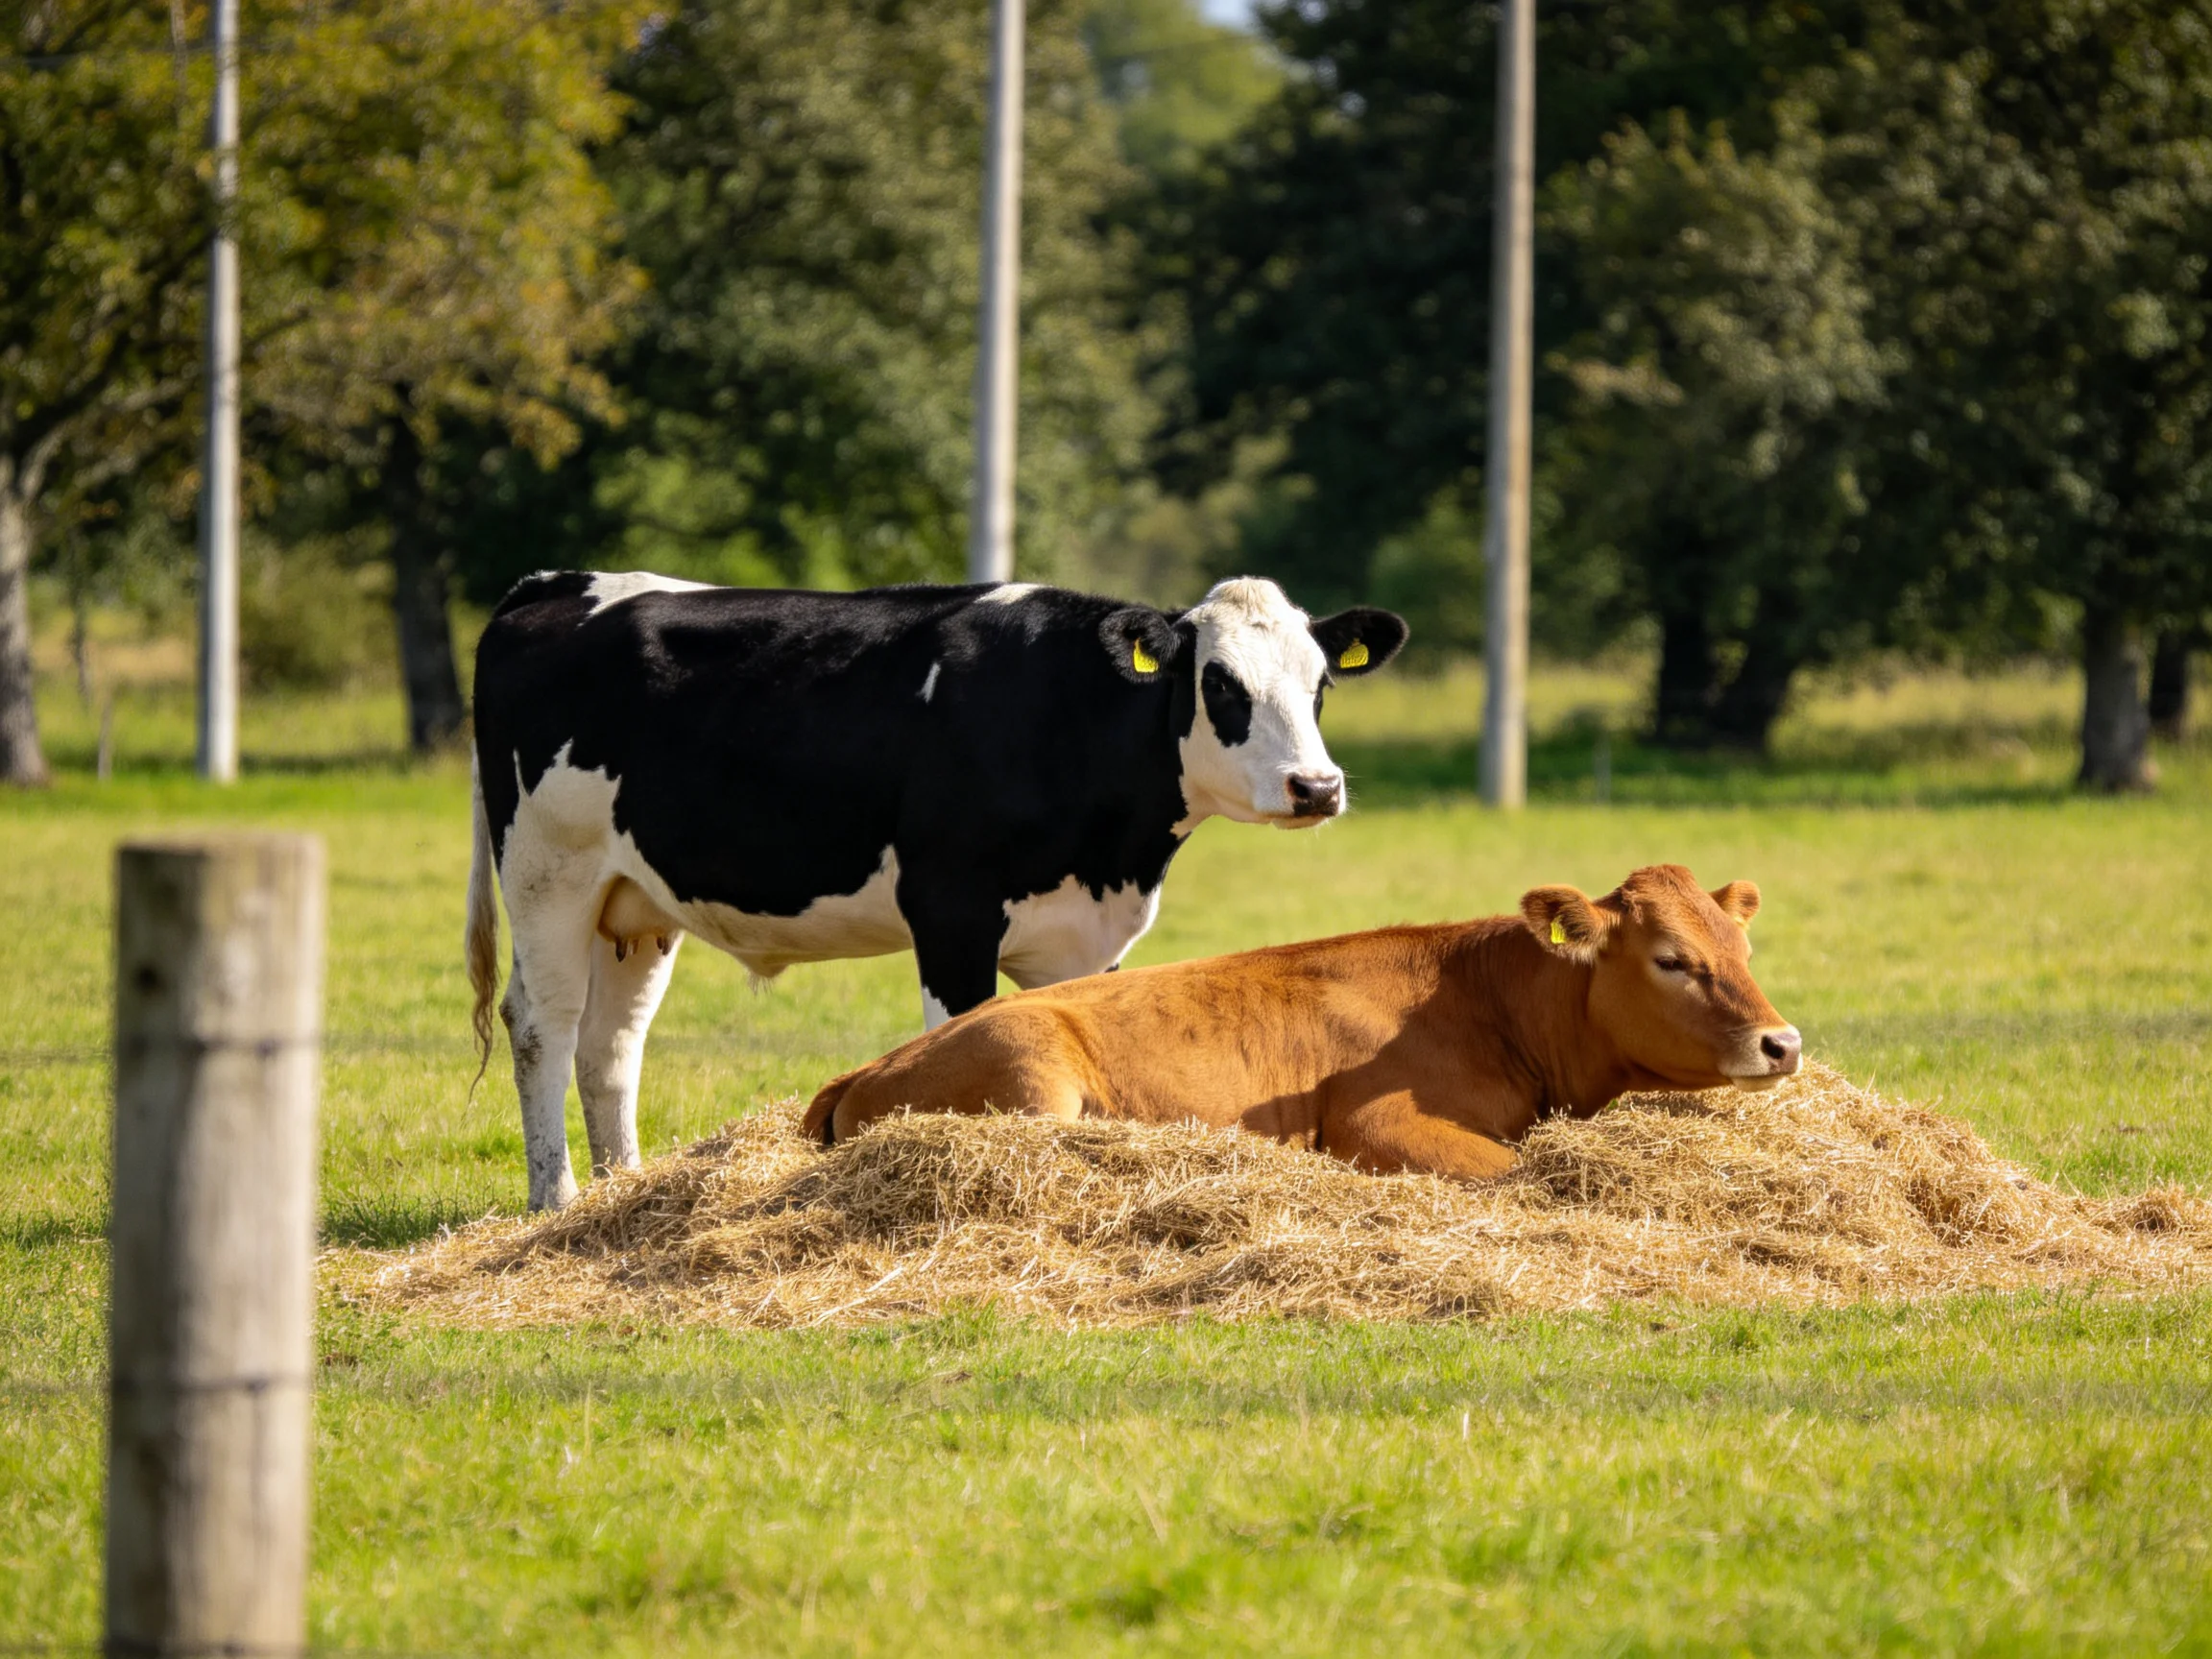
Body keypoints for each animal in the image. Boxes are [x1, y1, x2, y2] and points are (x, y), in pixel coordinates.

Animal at [466, 572, 1408, 1210]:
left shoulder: (1086, 938)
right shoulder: (951, 914)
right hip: (549, 873)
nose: (1316, 787)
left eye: (1321, 684)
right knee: (543, 1028)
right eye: (1220, 683)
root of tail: (551, 585)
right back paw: (556, 1200)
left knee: (611, 1044)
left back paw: (619, 1191)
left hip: (635, 902)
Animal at [802, 864, 1802, 1180]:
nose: (1782, 1043)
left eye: (1744, 948)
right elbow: (1521, 1174)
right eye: (1671, 958)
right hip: (1028, 1066)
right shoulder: (1377, 1122)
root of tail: (869, 1068)